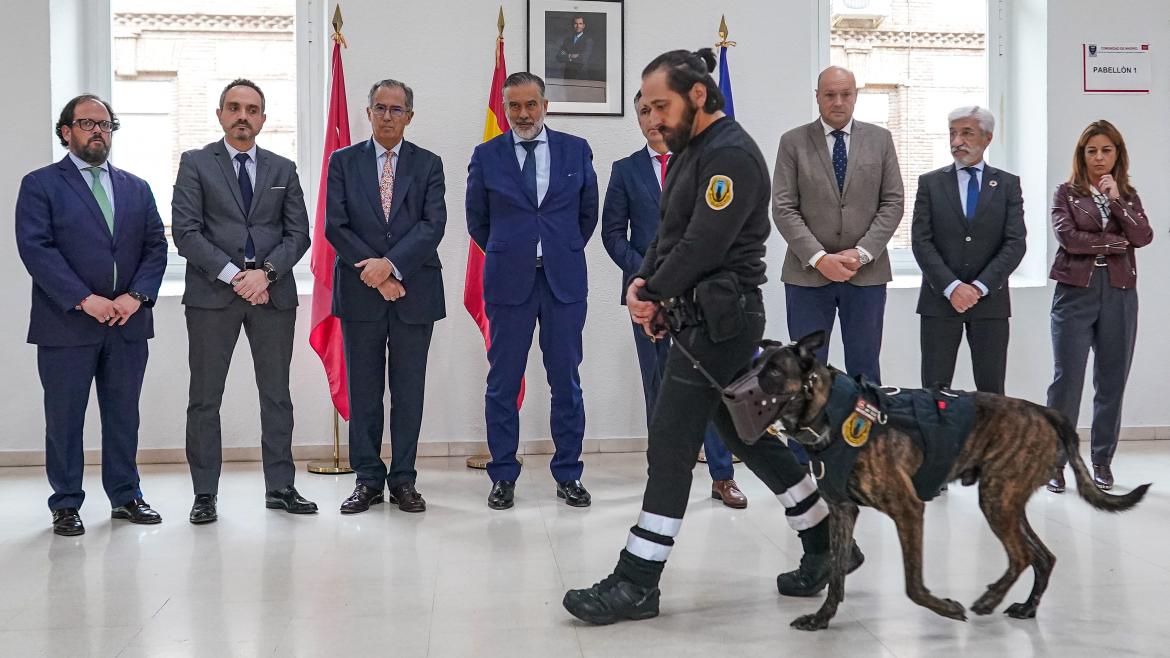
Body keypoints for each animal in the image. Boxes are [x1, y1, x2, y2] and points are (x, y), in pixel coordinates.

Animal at [758, 330, 1151, 627]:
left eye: (773, 372)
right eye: (755, 367)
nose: (740, 391)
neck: (833, 412)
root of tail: (1043, 411)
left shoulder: (908, 510)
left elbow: (912, 585)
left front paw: (945, 608)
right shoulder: (843, 512)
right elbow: (837, 574)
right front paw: (821, 618)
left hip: (997, 499)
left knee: (1022, 556)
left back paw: (990, 599)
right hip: (1006, 500)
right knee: (1043, 557)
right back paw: (1027, 607)